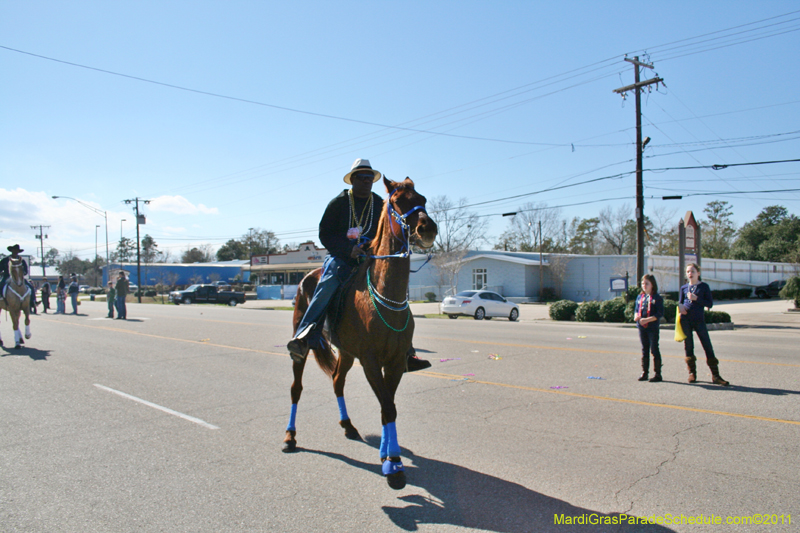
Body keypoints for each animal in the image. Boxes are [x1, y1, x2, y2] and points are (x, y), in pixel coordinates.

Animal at [282, 175, 438, 486]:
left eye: (423, 199)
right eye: (397, 201)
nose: (427, 227)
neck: (385, 295)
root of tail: (306, 277)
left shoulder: (394, 362)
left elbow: (388, 406)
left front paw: (387, 454)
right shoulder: (370, 361)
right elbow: (387, 406)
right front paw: (394, 466)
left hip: (346, 353)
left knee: (337, 381)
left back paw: (348, 426)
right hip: (303, 349)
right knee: (296, 388)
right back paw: (290, 437)